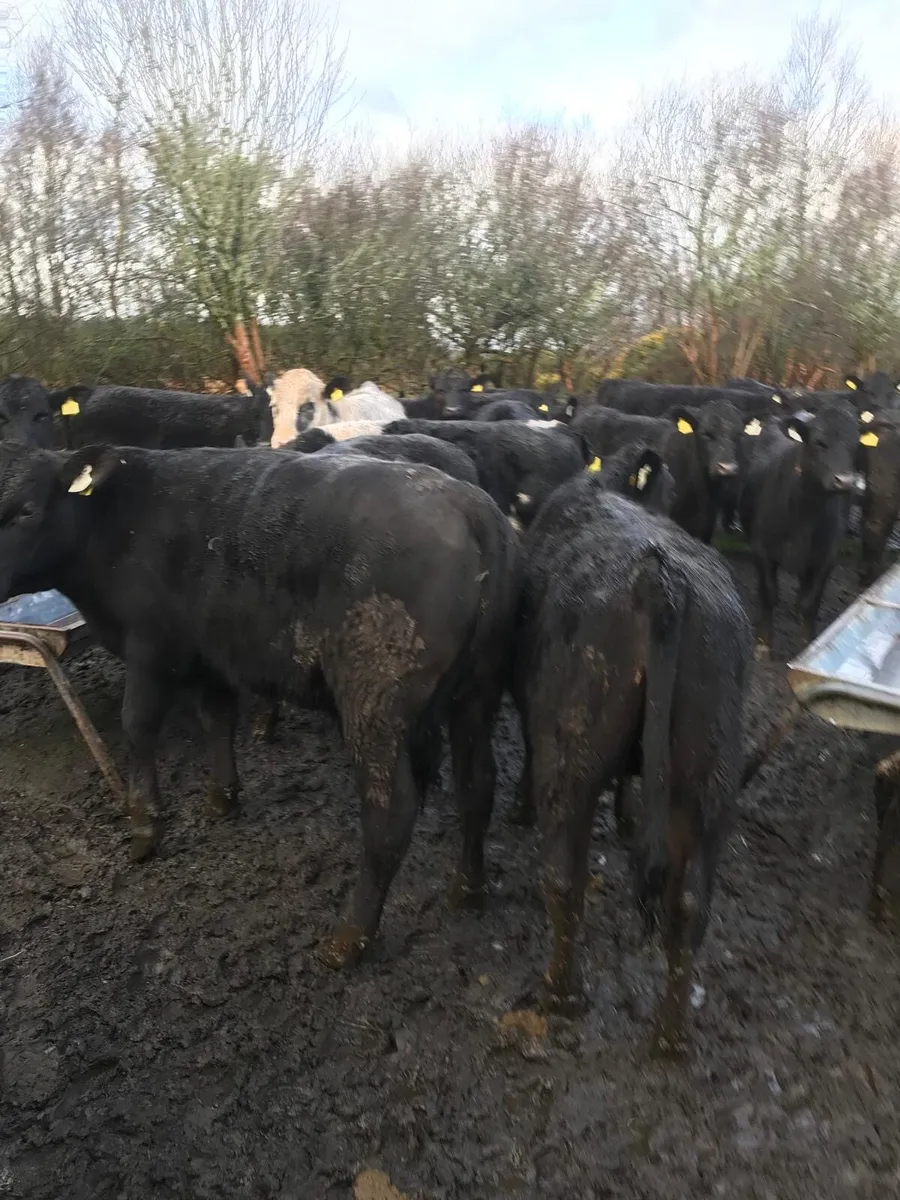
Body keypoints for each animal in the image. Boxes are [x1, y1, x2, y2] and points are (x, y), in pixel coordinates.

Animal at [0, 443, 520, 966]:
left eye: (27, 510)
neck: (114, 523)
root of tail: (469, 503)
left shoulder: (152, 646)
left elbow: (139, 726)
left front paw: (145, 827)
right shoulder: (209, 652)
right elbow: (217, 717)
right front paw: (221, 798)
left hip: (375, 701)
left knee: (389, 814)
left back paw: (348, 939)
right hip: (478, 691)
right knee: (477, 785)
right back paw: (467, 890)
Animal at [512, 472, 751, 1056]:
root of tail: (660, 582)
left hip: (571, 750)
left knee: (563, 877)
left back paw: (561, 993)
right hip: (709, 779)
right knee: (687, 905)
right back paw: (670, 1036)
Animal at [738, 405, 862, 656]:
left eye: (855, 445)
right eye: (819, 442)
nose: (844, 481)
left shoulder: (826, 557)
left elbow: (810, 603)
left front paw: (808, 642)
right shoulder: (761, 549)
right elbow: (769, 593)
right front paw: (763, 642)